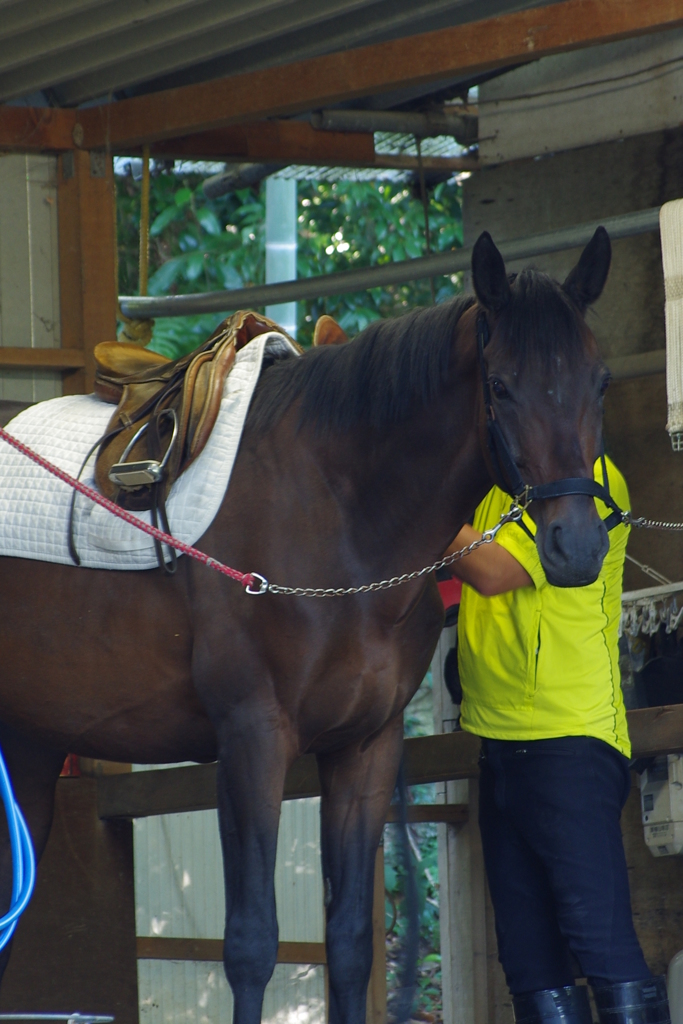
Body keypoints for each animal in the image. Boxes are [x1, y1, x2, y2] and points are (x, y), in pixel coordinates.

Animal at [0, 230, 610, 1024]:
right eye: (501, 386)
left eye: (599, 383)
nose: (578, 546)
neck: (339, 512)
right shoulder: (252, 741)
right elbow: (251, 942)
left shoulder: (364, 750)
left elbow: (348, 942)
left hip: (31, 745)